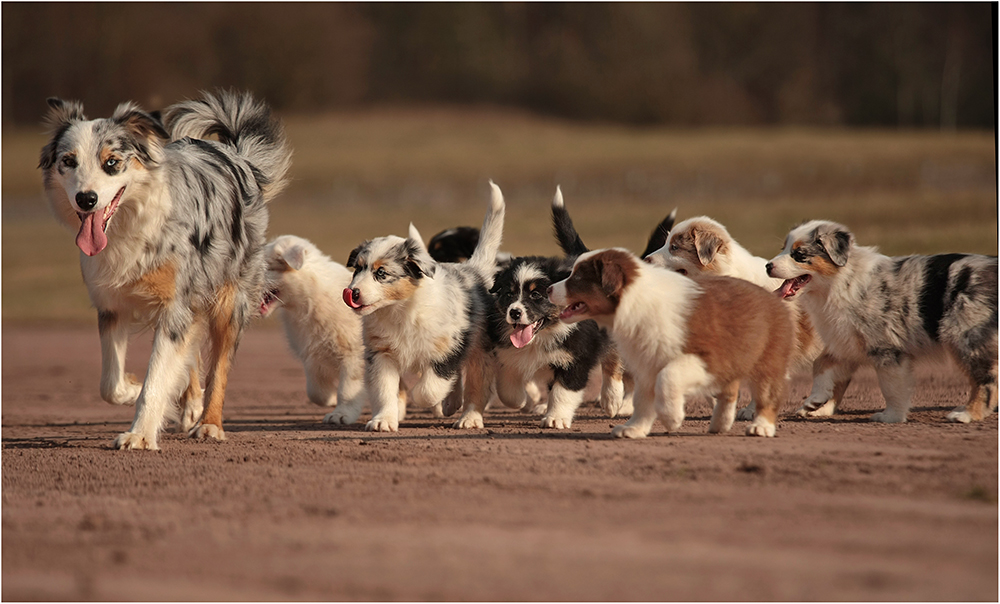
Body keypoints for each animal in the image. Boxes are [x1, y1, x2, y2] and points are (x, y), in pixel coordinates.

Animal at [552, 249, 792, 438]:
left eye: (577, 277)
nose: (547, 289)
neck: (636, 301)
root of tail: (771, 295)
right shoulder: (647, 363)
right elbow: (642, 400)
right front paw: (634, 429)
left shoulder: (704, 357)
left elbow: (668, 377)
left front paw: (671, 418)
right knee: (730, 391)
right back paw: (719, 424)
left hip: (767, 360)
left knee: (767, 394)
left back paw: (761, 427)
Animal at [768, 219, 996, 422]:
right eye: (782, 248)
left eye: (799, 254)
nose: (767, 266)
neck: (840, 281)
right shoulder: (846, 340)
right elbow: (821, 364)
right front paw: (815, 401)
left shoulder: (886, 348)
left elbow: (891, 387)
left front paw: (891, 417)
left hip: (965, 335)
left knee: (987, 380)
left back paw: (967, 414)